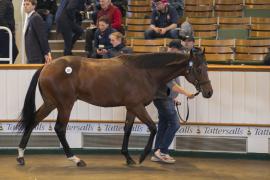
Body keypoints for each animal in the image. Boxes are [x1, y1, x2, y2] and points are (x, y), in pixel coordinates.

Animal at [16, 48, 213, 167]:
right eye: (198, 69)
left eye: (206, 67)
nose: (209, 92)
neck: (145, 72)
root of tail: (46, 66)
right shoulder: (137, 106)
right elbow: (153, 127)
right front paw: (142, 156)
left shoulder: (131, 108)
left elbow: (127, 129)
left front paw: (128, 157)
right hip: (65, 104)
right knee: (59, 128)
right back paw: (76, 159)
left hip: (51, 103)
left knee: (33, 121)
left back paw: (21, 156)